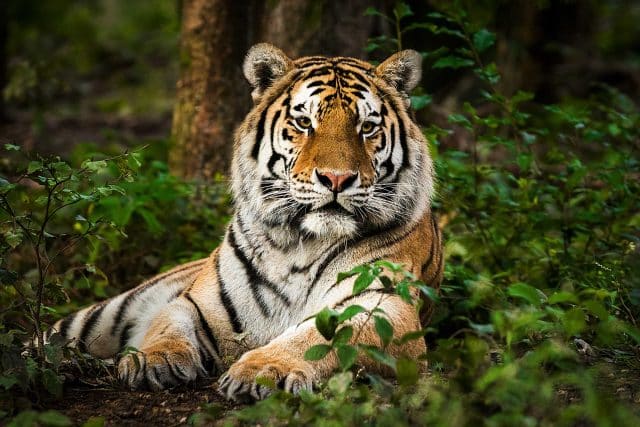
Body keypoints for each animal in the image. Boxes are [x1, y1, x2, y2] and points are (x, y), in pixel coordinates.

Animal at [40, 43, 443, 402]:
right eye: (304, 122)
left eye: (367, 127)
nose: (336, 178)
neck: (300, 243)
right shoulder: (197, 302)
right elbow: (167, 324)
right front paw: (151, 360)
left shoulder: (382, 308)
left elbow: (316, 338)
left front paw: (264, 370)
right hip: (102, 316)